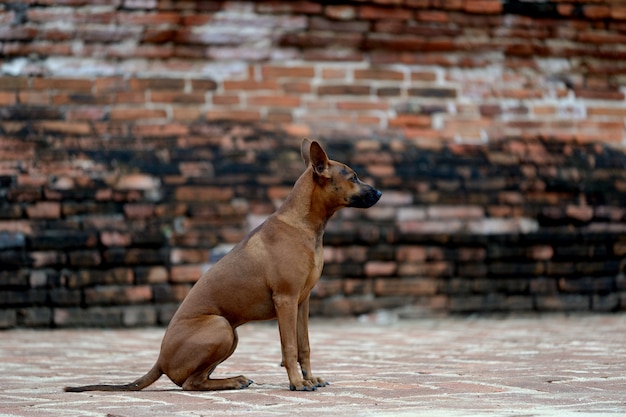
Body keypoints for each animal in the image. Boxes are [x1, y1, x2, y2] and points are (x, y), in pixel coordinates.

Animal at [66, 138, 382, 392]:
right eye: (353, 177)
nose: (379, 193)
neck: (303, 224)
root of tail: (159, 360)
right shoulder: (286, 300)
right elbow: (289, 347)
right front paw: (296, 383)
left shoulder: (302, 302)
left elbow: (304, 346)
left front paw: (310, 378)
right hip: (221, 327)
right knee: (190, 384)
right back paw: (231, 381)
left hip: (231, 335)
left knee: (196, 379)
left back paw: (233, 380)